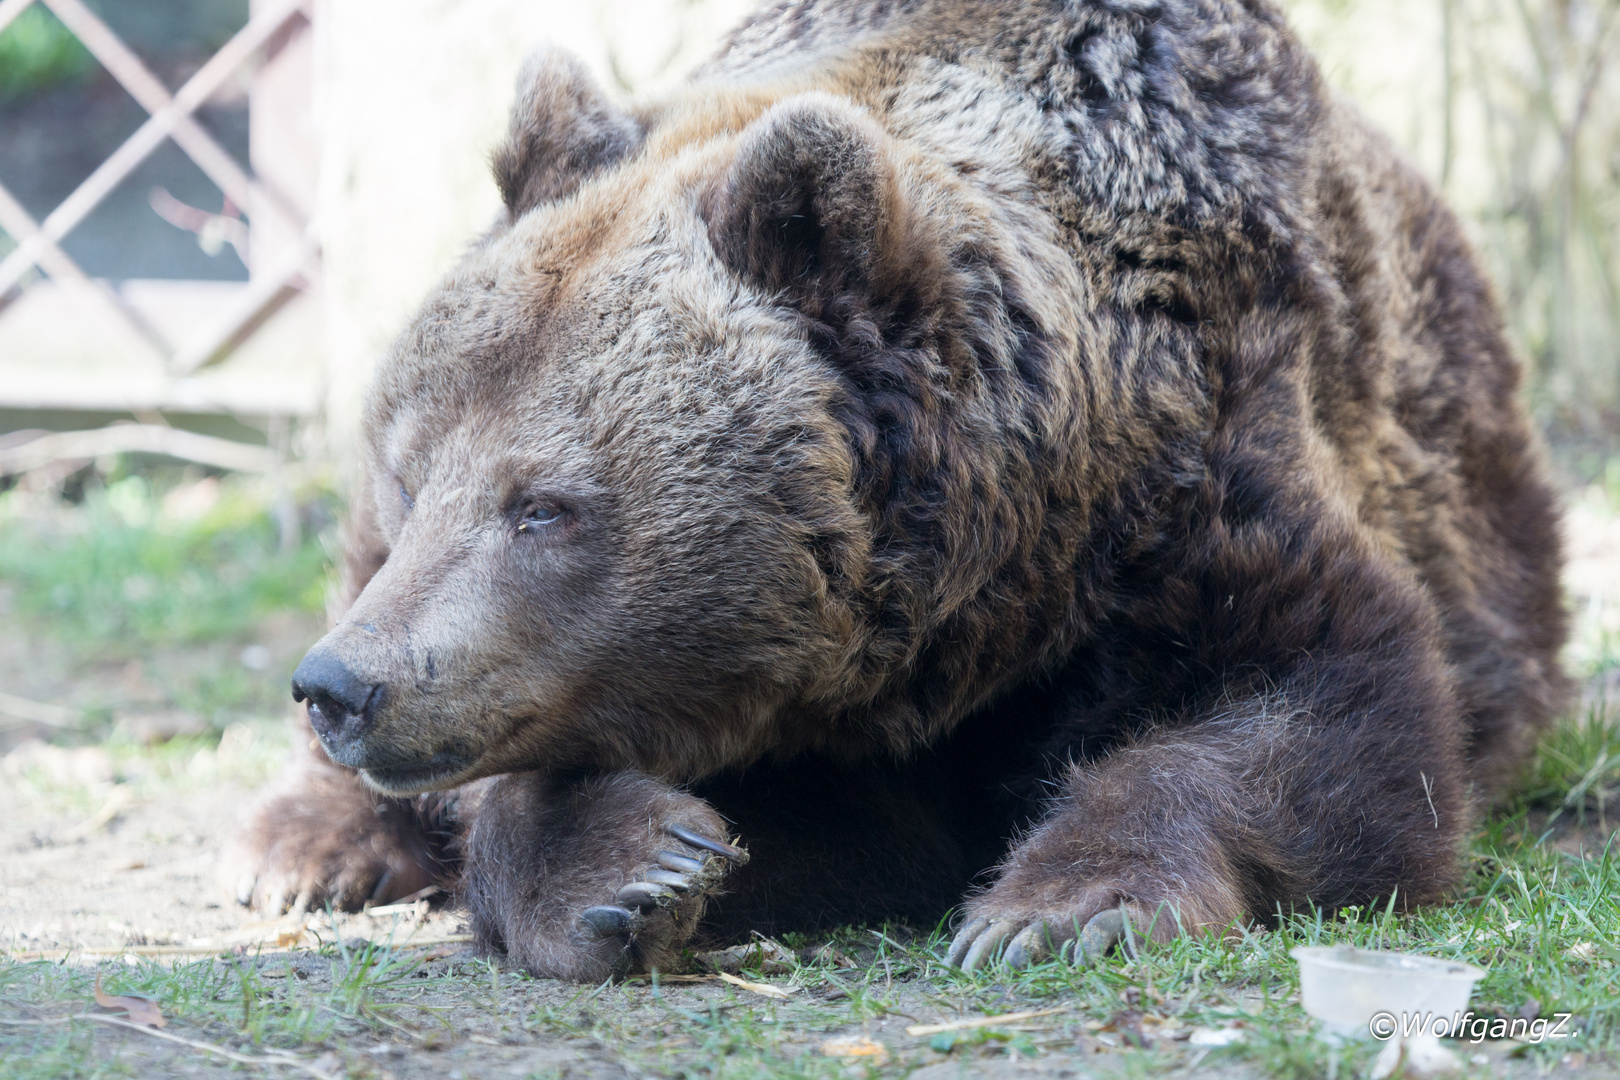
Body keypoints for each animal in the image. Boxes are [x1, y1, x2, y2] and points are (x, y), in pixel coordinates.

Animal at [228, 0, 1568, 984]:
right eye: (414, 476)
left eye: (543, 506)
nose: (345, 686)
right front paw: (634, 865)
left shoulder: (1207, 479)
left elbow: (1337, 709)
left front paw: (1059, 906)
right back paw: (305, 845)